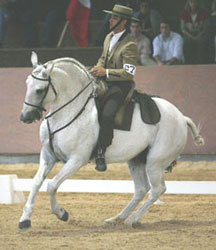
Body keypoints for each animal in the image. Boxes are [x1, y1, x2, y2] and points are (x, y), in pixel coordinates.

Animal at [19, 52, 204, 230]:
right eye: (27, 83)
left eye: (40, 90)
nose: (25, 117)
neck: (68, 111)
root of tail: (181, 117)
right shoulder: (48, 155)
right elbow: (36, 182)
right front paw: (25, 220)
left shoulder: (76, 160)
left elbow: (51, 185)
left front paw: (62, 213)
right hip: (136, 160)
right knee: (141, 189)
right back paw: (116, 219)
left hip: (155, 163)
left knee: (157, 189)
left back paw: (132, 220)